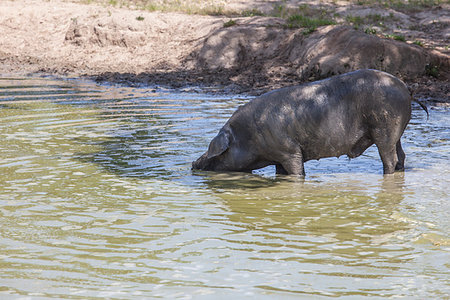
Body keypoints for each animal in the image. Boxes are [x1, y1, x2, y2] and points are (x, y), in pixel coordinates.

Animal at [192, 69, 428, 175]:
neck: (248, 137)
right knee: (401, 156)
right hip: (396, 132)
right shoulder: (279, 157)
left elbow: (298, 172)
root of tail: (405, 88)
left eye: (218, 152)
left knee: (389, 158)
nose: (194, 163)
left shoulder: (289, 151)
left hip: (385, 128)